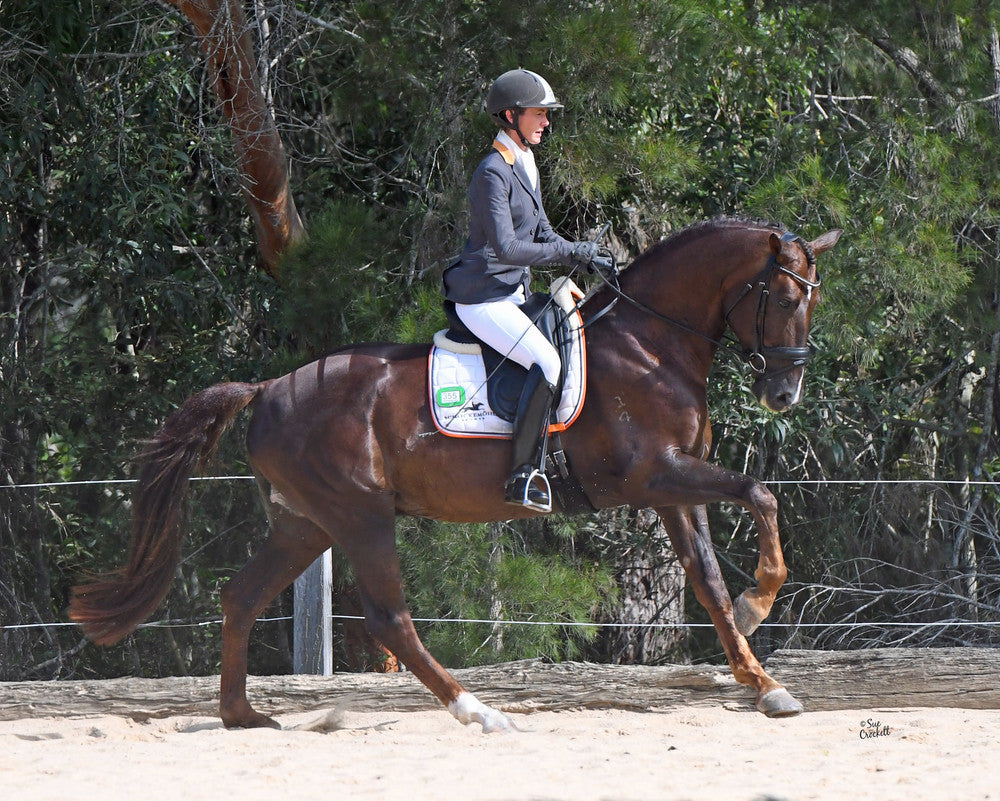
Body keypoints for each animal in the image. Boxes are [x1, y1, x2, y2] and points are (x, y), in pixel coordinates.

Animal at [69, 216, 842, 731]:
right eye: (784, 297)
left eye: (815, 297)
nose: (785, 394)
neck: (651, 345)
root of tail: (268, 388)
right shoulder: (655, 475)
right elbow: (760, 493)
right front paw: (759, 603)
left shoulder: (675, 485)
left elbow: (709, 577)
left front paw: (761, 677)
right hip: (360, 515)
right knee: (389, 618)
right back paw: (477, 709)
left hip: (305, 524)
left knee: (241, 596)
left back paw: (243, 715)